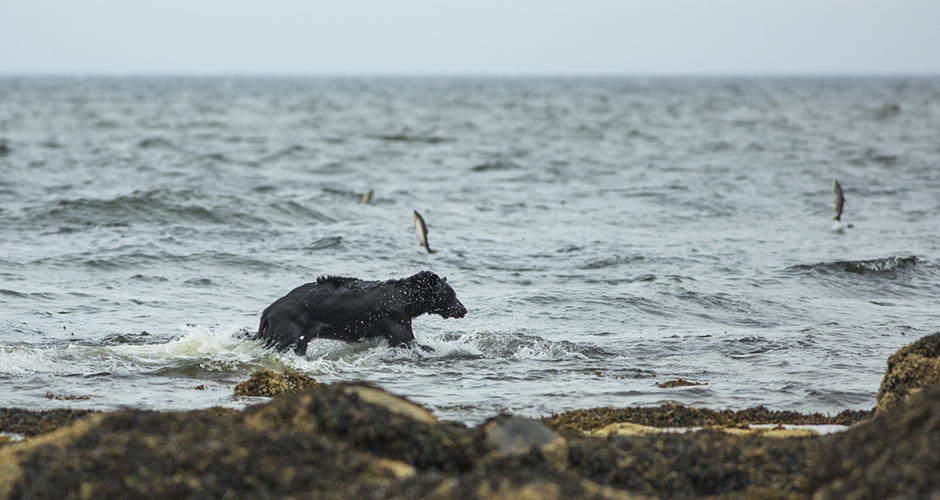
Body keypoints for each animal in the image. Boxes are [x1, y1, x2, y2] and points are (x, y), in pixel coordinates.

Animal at [258, 272, 466, 354]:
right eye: (451, 294)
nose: (463, 310)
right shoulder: (394, 317)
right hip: (290, 325)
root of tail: (267, 312)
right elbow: (405, 341)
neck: (406, 301)